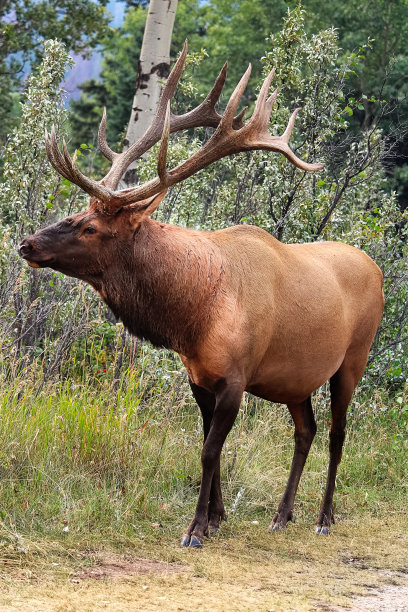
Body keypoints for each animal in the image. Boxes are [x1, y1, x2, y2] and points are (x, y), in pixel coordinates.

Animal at [19, 44, 382, 548]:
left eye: (90, 227)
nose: (27, 244)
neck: (192, 318)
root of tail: (377, 268)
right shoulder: (199, 377)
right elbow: (208, 444)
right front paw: (216, 517)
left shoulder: (236, 376)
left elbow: (210, 452)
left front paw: (195, 529)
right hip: (297, 378)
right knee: (305, 429)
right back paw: (282, 513)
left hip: (353, 360)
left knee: (337, 433)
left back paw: (324, 517)